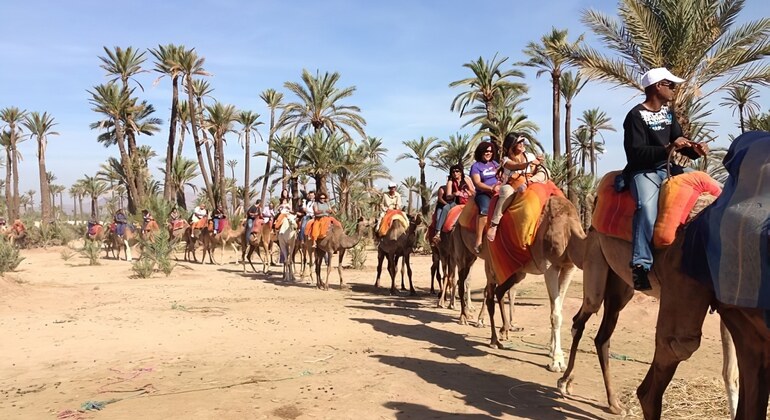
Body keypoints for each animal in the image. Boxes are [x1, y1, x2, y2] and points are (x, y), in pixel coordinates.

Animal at [448, 195, 584, 372]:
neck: (568, 228)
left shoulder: (569, 267)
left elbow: (557, 309)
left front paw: (553, 351)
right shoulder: (549, 266)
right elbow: (555, 314)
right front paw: (557, 361)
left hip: (514, 270)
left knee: (497, 291)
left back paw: (501, 331)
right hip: (470, 255)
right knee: (474, 287)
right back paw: (479, 329)